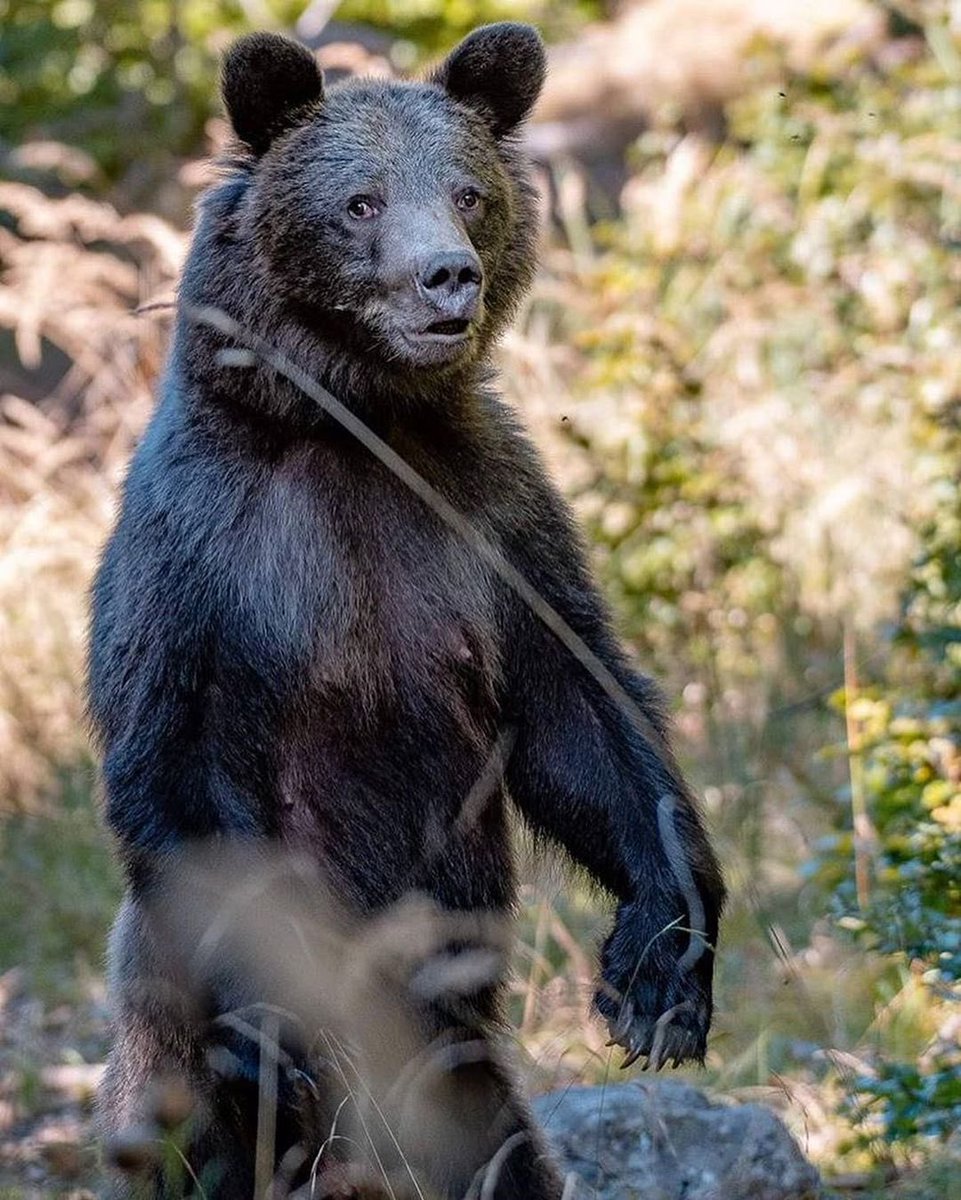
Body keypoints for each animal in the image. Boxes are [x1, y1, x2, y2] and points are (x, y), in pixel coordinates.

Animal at [88, 22, 725, 1200]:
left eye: (468, 192)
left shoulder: (488, 521)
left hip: (450, 1055)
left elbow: (584, 713)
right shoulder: (208, 559)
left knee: (491, 1144)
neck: (354, 429)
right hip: (168, 1036)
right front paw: (264, 1039)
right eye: (360, 202)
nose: (448, 277)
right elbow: (177, 760)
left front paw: (659, 970)